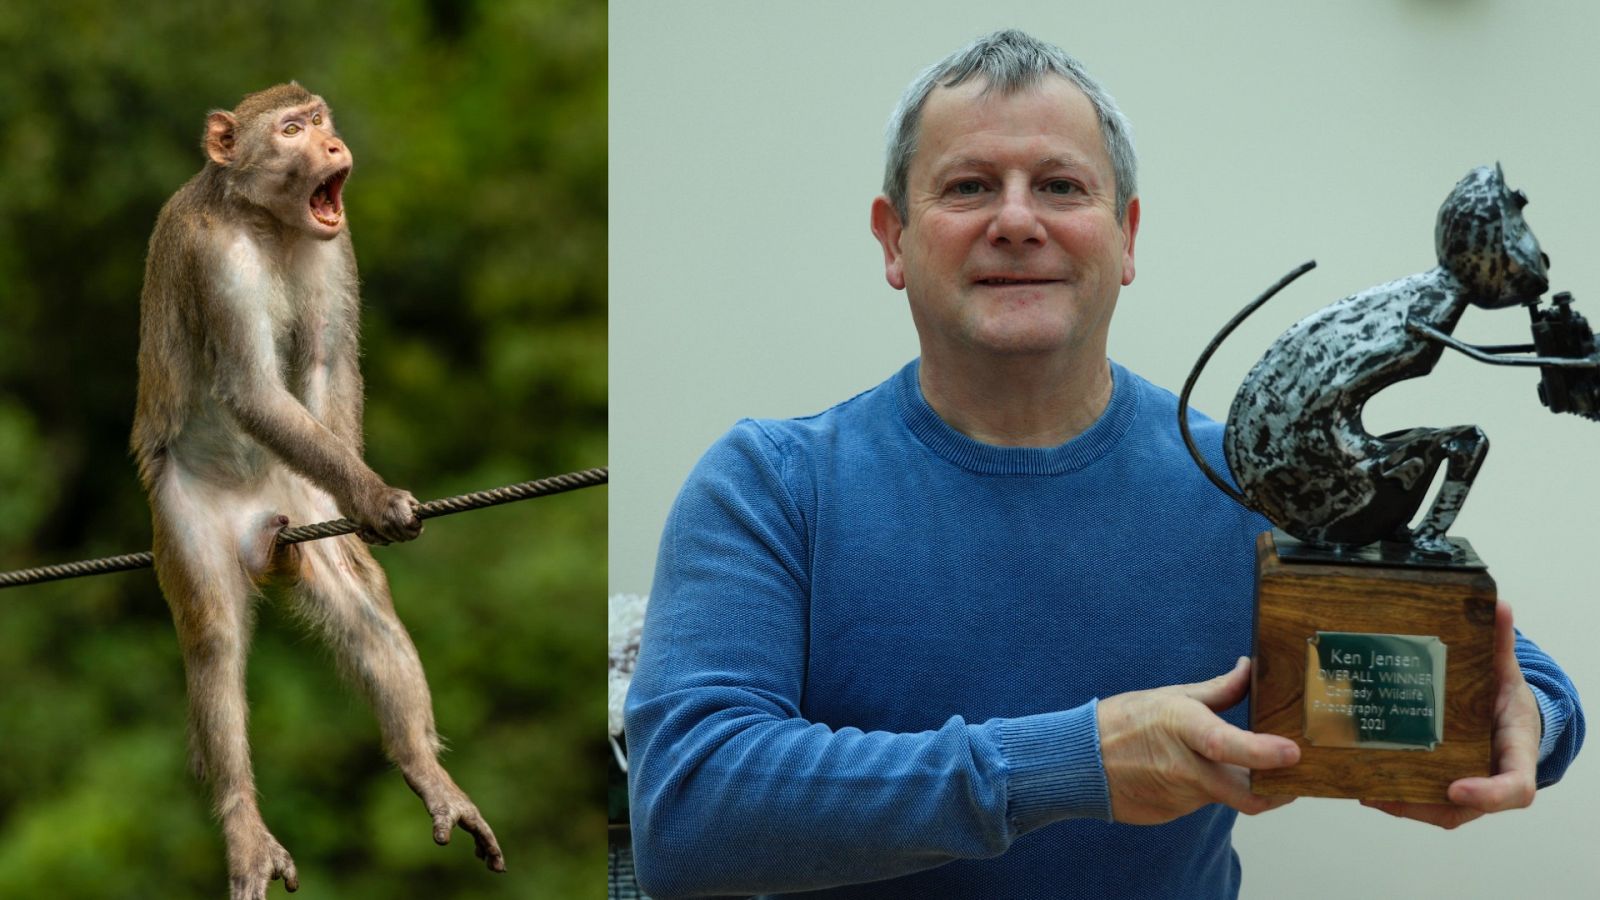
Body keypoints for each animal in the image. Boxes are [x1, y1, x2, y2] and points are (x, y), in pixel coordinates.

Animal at [132, 82, 505, 890]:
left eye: (320, 120)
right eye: (291, 129)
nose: (332, 146)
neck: (266, 223)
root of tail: (258, 528)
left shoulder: (338, 244)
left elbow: (330, 363)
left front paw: (362, 504)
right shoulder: (213, 256)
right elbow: (251, 389)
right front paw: (374, 498)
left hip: (297, 498)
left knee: (361, 604)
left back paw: (425, 770)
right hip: (184, 515)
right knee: (213, 636)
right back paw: (244, 823)